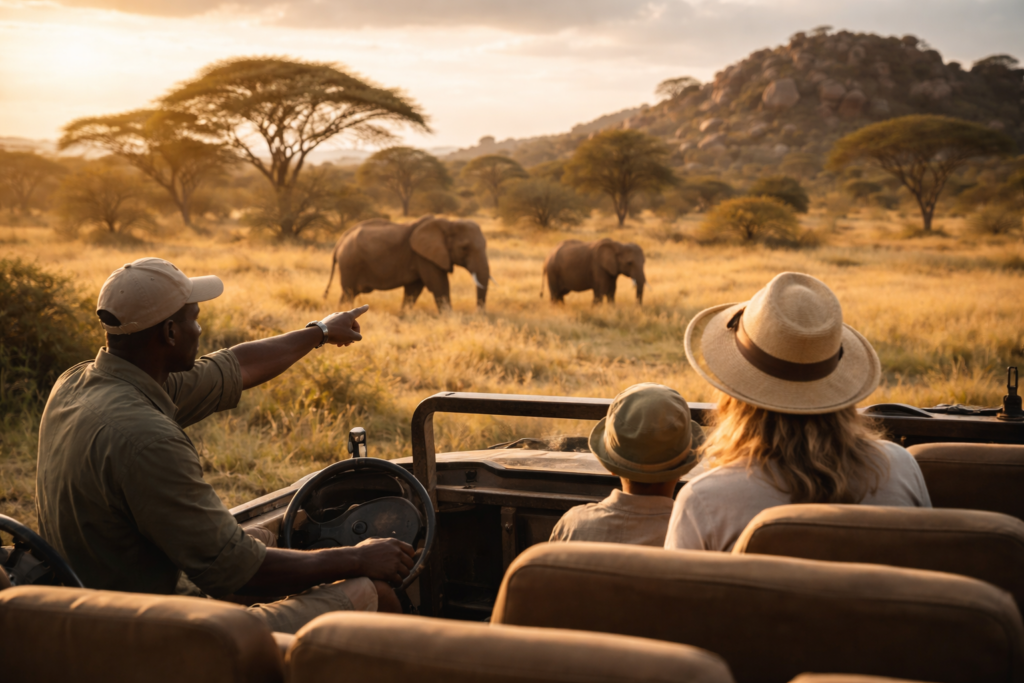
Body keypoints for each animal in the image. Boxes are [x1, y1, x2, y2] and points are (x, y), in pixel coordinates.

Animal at [324, 215, 490, 312]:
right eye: (464, 248)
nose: (479, 314)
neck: (448, 222)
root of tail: (339, 242)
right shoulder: (424, 257)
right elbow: (439, 285)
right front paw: (449, 317)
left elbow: (413, 289)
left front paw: (404, 316)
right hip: (350, 263)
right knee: (349, 292)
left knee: (348, 293)